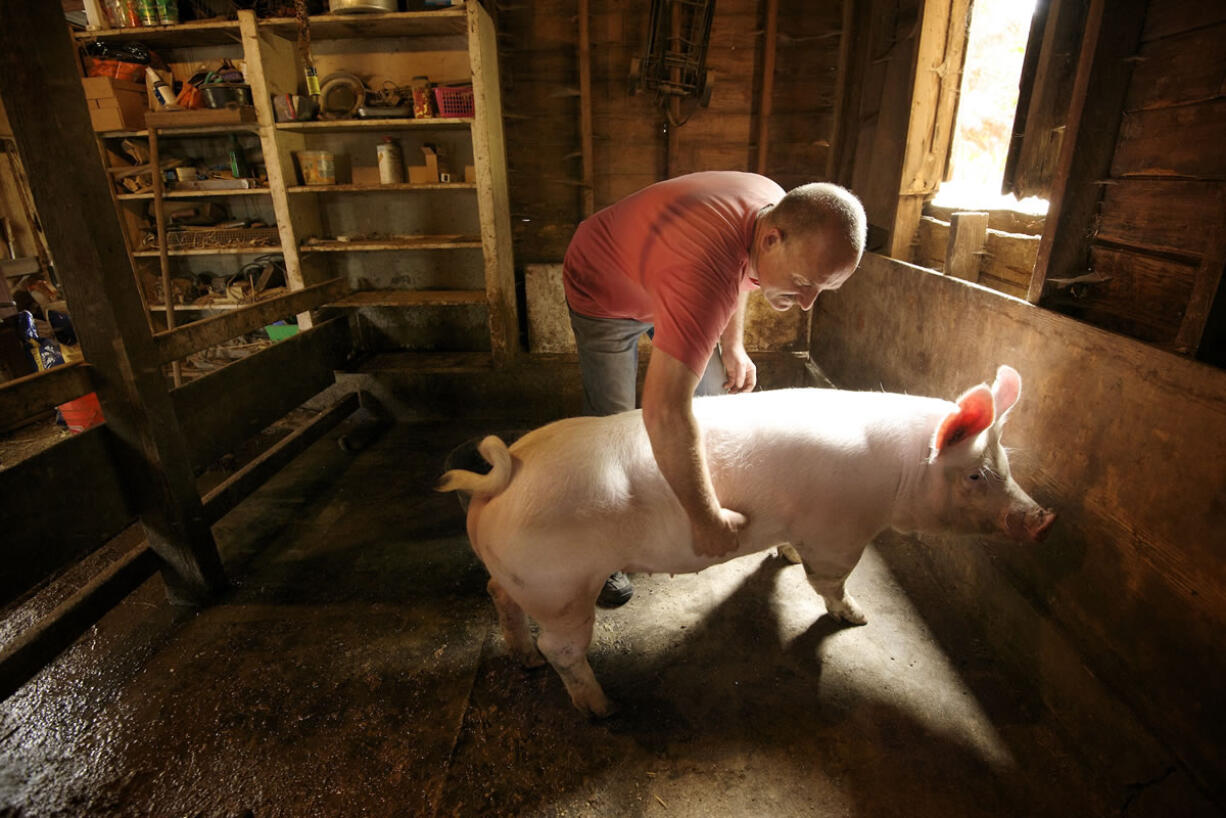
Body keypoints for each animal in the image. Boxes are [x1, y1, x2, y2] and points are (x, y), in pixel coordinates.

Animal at [438, 365, 1054, 716]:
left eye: (1004, 464)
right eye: (976, 476)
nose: (1042, 518)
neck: (899, 478)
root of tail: (506, 474)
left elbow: (787, 556)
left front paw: (783, 555)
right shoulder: (841, 533)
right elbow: (830, 581)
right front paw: (857, 618)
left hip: (522, 577)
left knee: (499, 596)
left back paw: (523, 660)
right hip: (563, 587)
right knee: (560, 648)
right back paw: (604, 709)